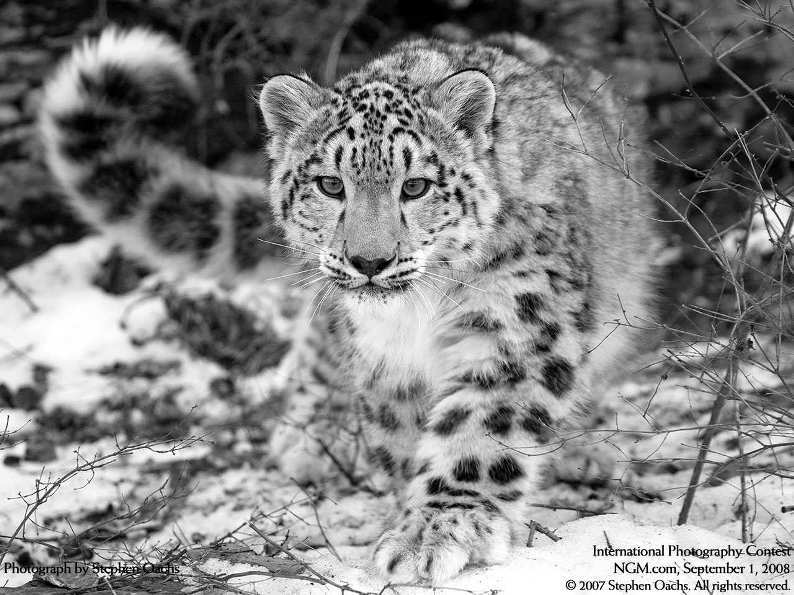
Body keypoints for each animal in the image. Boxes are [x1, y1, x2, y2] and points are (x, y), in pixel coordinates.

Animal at [40, 28, 652, 584]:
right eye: (331, 185)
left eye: (416, 186)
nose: (369, 261)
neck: (417, 315)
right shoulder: (384, 360)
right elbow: (400, 437)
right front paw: (409, 514)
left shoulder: (516, 323)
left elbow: (480, 428)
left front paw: (438, 530)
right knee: (317, 339)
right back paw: (311, 435)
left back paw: (585, 451)